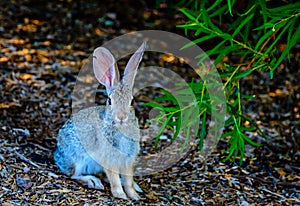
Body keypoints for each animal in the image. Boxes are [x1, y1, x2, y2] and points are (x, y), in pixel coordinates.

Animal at [54, 41, 146, 200]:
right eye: (109, 101)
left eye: (132, 101)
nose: (121, 117)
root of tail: (57, 156)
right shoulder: (109, 159)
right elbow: (114, 179)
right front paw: (120, 195)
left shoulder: (127, 159)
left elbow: (128, 179)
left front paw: (134, 195)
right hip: (78, 159)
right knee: (73, 175)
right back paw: (92, 181)